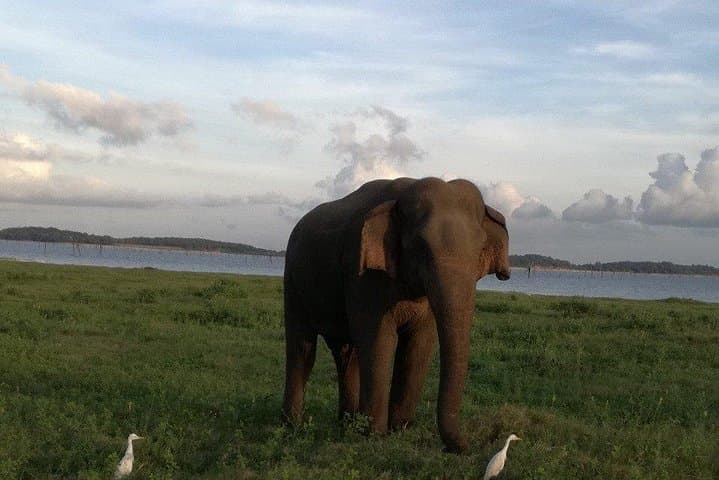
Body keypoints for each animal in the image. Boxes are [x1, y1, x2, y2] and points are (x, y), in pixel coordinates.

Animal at [281, 177, 510, 453]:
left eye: (479, 249)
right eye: (421, 246)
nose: (467, 445)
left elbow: (418, 344)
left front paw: (400, 430)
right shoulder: (361, 272)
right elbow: (379, 339)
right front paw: (376, 436)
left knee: (346, 352)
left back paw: (347, 424)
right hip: (292, 277)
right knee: (302, 347)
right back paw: (293, 425)